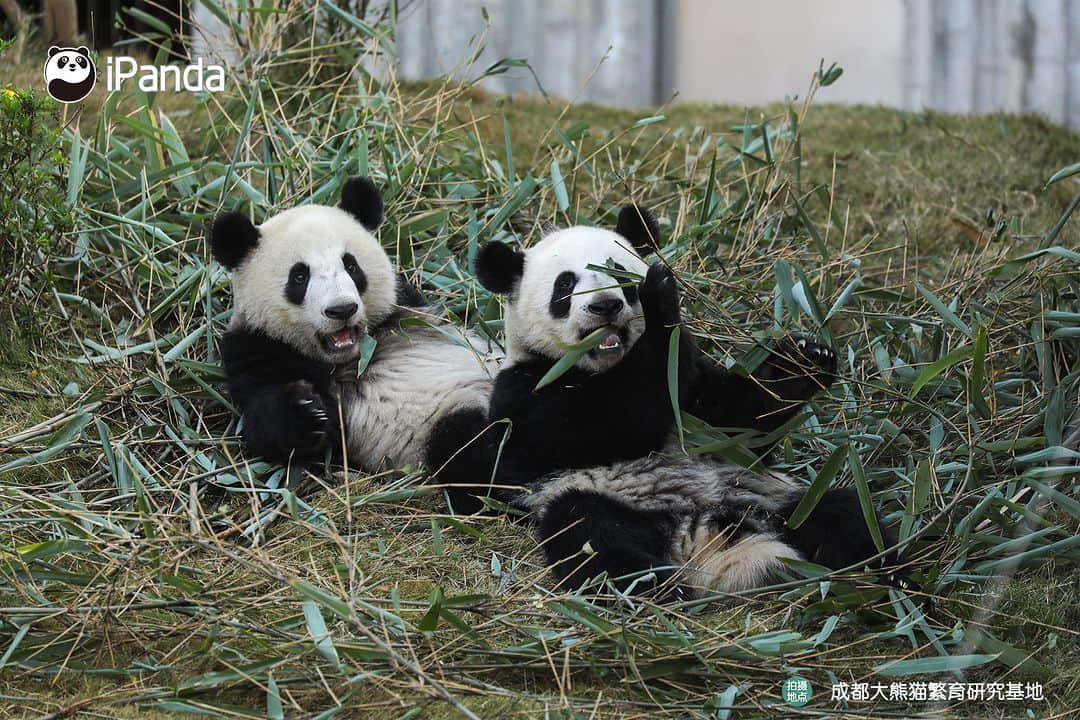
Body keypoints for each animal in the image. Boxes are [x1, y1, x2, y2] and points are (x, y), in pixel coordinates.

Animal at [210, 177, 498, 502]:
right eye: (299, 277)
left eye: (351, 265)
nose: (342, 309)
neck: (354, 357)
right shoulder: (255, 347)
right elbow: (267, 428)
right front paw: (305, 409)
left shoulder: (409, 308)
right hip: (446, 423)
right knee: (471, 454)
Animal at [460, 205, 898, 597]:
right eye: (565, 286)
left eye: (619, 275)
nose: (605, 306)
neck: (601, 368)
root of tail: (702, 530)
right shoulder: (526, 391)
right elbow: (601, 426)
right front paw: (659, 298)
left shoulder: (695, 394)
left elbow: (738, 423)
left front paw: (806, 358)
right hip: (596, 497)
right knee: (596, 542)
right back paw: (661, 592)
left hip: (770, 496)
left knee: (846, 518)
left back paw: (888, 579)